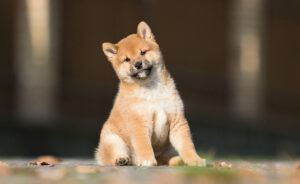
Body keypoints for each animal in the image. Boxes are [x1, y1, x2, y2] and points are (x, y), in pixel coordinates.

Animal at [96, 21, 206, 167]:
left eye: (143, 52)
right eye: (127, 59)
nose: (138, 64)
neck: (151, 89)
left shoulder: (177, 119)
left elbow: (187, 145)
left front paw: (194, 160)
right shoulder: (139, 122)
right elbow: (144, 144)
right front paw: (147, 160)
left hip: (169, 148)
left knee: (164, 159)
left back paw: (177, 160)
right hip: (113, 140)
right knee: (116, 156)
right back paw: (122, 160)